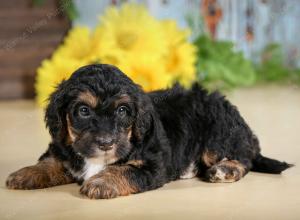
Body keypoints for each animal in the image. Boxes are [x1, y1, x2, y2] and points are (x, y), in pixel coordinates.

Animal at [5, 64, 292, 199]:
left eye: (123, 111)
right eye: (83, 111)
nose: (106, 143)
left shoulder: (152, 165)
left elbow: (125, 170)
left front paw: (101, 182)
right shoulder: (65, 147)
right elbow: (52, 162)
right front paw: (26, 173)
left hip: (218, 133)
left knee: (243, 158)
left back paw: (224, 169)